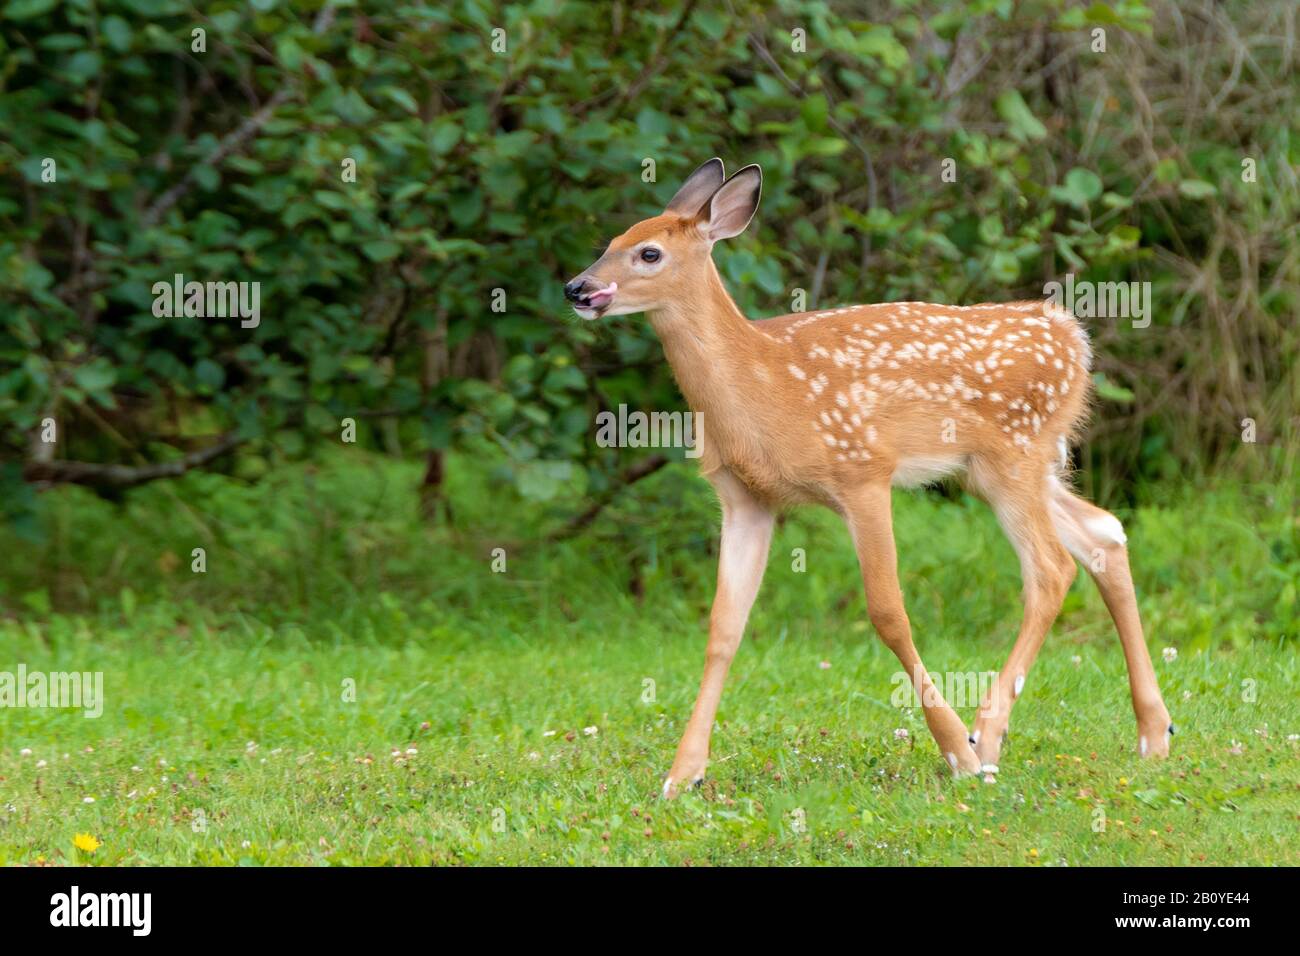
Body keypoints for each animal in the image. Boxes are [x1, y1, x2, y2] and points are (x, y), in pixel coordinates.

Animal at [563, 159, 1174, 798]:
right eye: (610, 241)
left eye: (649, 253)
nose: (576, 289)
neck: (760, 386)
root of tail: (1073, 338)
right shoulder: (745, 499)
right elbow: (723, 627)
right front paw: (683, 774)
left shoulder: (862, 471)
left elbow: (887, 612)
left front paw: (955, 751)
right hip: (1001, 467)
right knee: (1103, 533)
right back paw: (1153, 734)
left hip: (1016, 452)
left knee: (1052, 569)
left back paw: (988, 735)